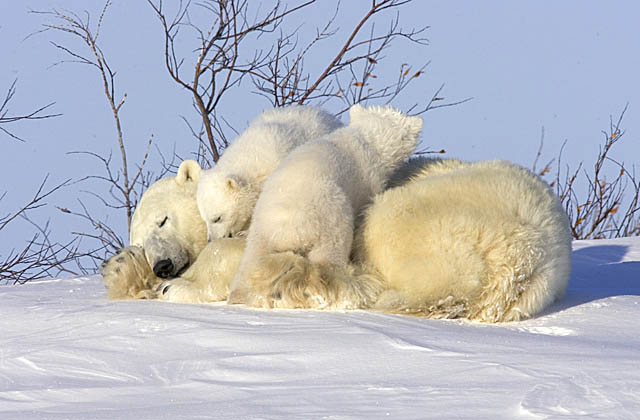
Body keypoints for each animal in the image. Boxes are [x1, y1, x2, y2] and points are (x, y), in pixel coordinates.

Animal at [228, 105, 422, 308]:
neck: (365, 138)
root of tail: (288, 229)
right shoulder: (368, 182)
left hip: (261, 228)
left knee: (251, 261)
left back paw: (239, 295)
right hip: (330, 218)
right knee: (328, 260)